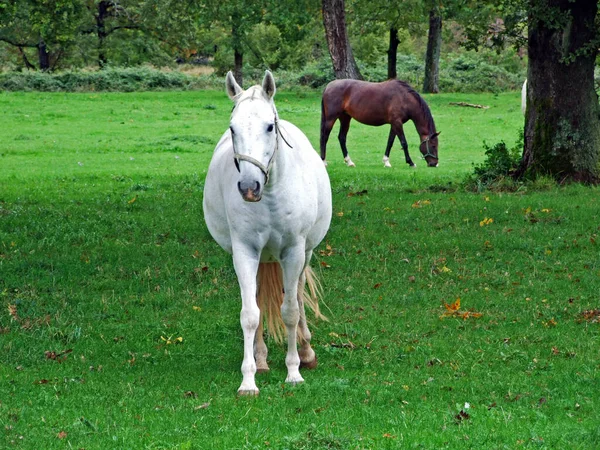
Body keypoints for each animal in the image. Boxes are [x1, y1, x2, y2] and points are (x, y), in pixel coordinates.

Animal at [202, 69, 332, 394]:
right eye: (232, 128)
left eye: (270, 127)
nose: (249, 187)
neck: (271, 195)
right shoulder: (245, 252)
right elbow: (250, 314)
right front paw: (248, 379)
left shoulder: (294, 252)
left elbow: (291, 311)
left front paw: (294, 371)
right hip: (261, 259)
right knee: (259, 300)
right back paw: (260, 359)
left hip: (305, 254)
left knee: (298, 295)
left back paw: (306, 352)